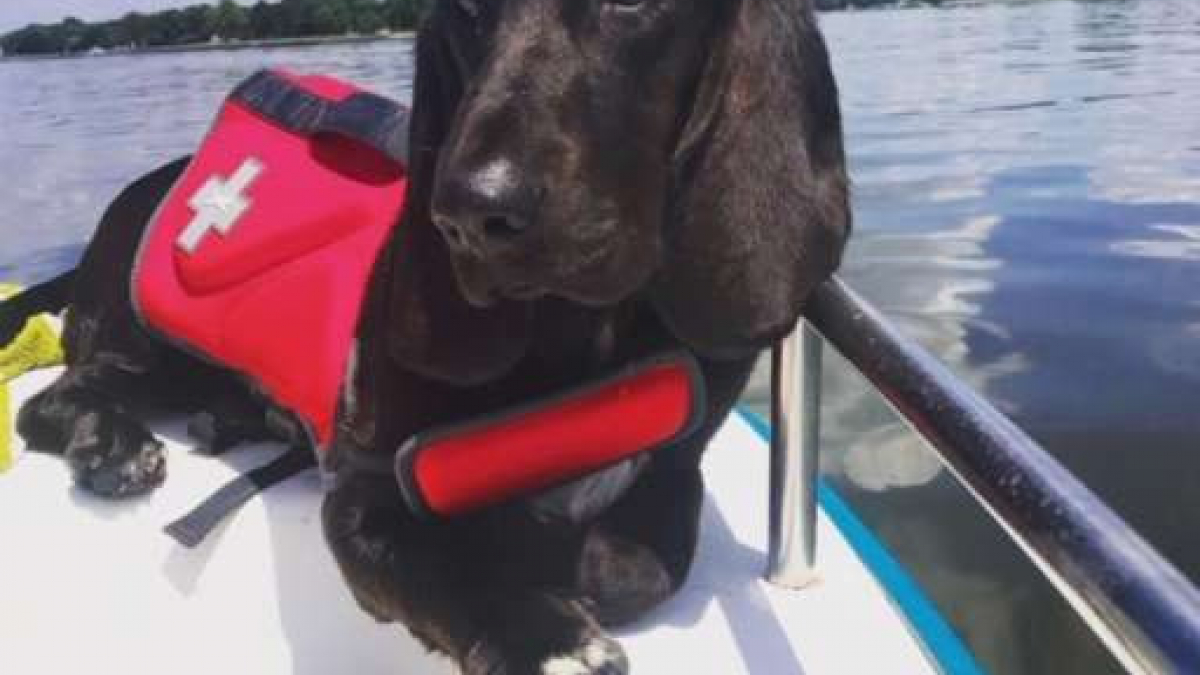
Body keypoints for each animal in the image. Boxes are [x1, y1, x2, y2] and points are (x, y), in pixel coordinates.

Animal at [11, 0, 854, 667]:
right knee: (52, 397)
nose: (467, 214)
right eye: (468, 8)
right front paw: (541, 633)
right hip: (146, 341)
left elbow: (637, 565)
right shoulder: (365, 496)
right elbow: (448, 562)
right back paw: (111, 444)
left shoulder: (674, 473)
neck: (580, 334)